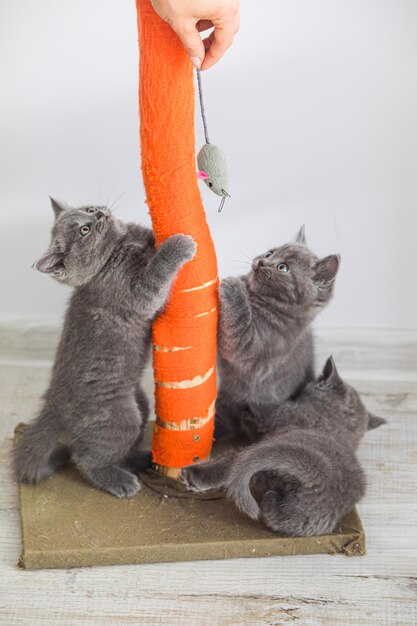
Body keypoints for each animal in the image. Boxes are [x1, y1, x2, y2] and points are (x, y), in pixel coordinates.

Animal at [13, 197, 195, 494]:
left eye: (87, 210)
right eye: (84, 230)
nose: (99, 213)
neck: (116, 251)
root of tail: (54, 406)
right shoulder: (136, 293)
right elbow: (155, 276)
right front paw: (177, 246)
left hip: (140, 404)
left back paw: (139, 460)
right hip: (119, 418)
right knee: (85, 457)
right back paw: (119, 480)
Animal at [182, 358, 386, 532]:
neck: (334, 421)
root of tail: (321, 478)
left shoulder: (278, 417)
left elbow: (260, 416)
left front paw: (248, 407)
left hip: (257, 454)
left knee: (231, 467)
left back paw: (194, 475)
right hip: (300, 519)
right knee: (276, 515)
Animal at [216, 227, 340, 442]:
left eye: (283, 268)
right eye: (270, 253)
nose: (262, 262)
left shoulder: (255, 342)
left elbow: (237, 331)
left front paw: (233, 285)